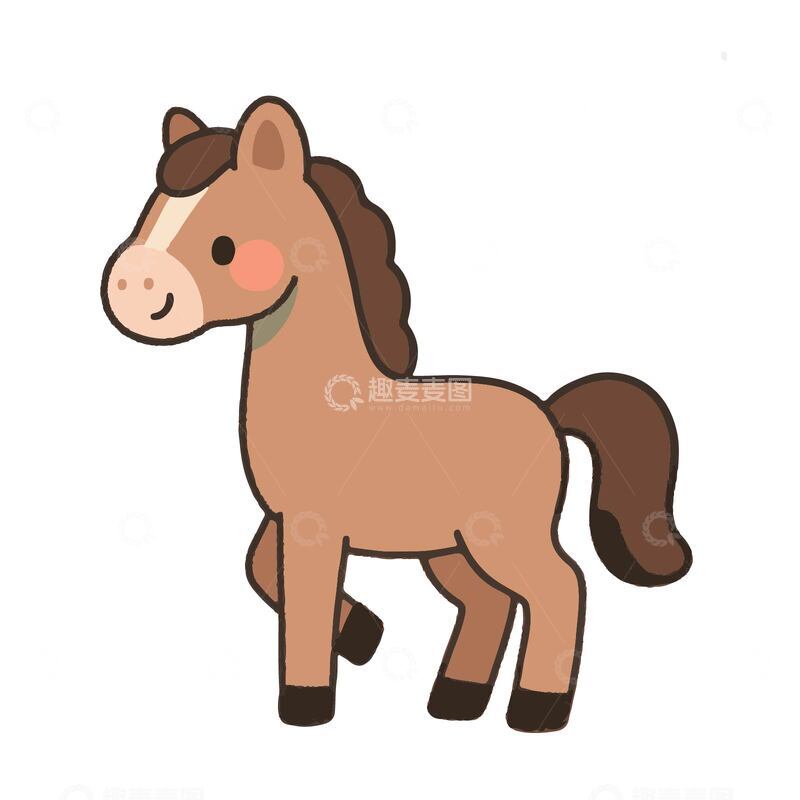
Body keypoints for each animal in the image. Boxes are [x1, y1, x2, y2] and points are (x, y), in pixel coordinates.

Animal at [101, 97, 692, 731]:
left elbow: (301, 602)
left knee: (560, 587)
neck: (327, 394)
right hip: (451, 546)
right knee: (491, 601)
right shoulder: (284, 515)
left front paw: (308, 700)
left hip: (503, 537)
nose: (132, 288)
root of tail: (550, 415)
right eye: (149, 214)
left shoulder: (314, 524)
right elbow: (260, 568)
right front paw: (365, 635)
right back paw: (456, 699)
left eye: (224, 245)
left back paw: (536, 710)